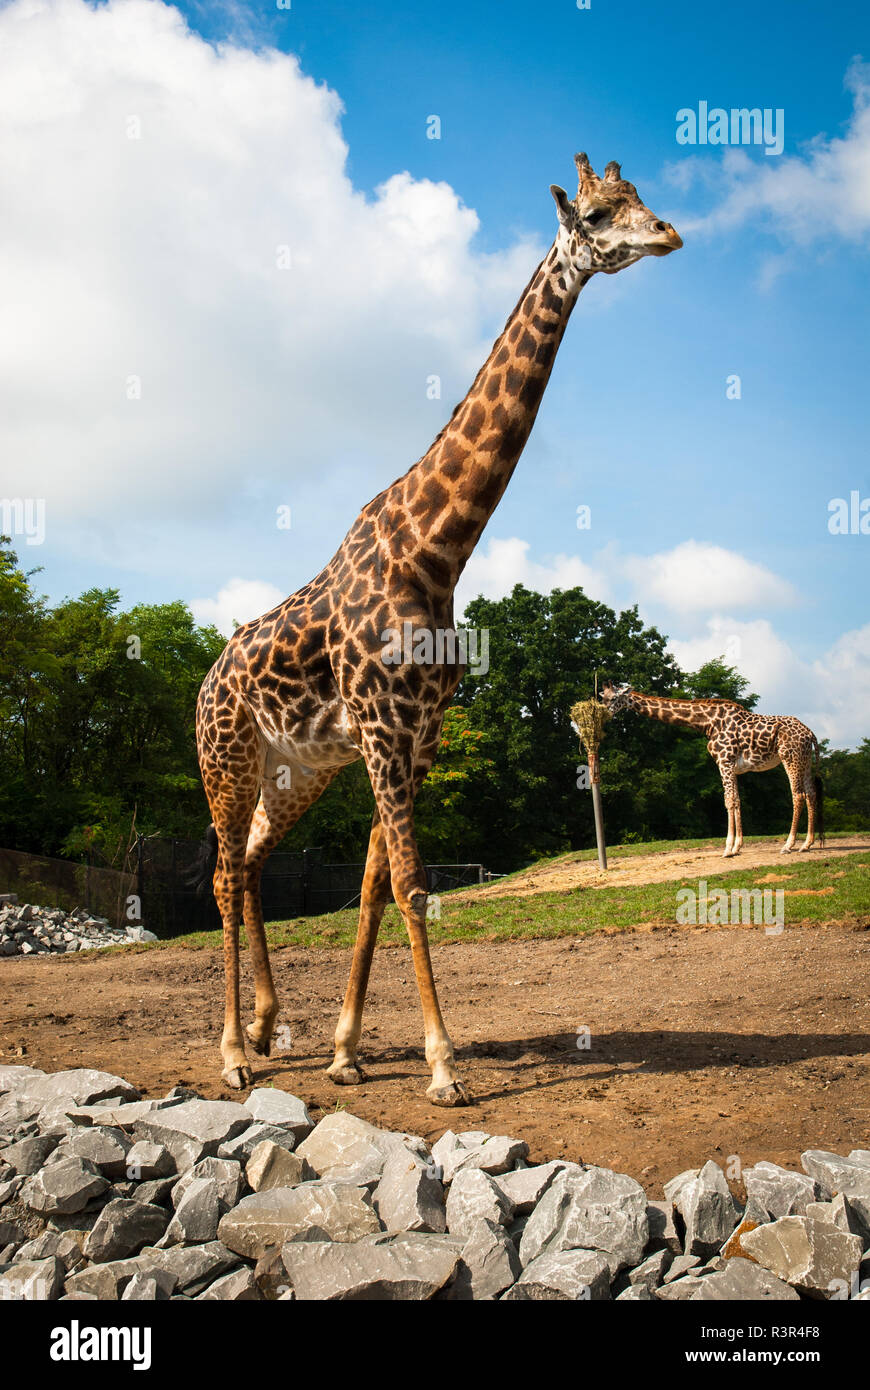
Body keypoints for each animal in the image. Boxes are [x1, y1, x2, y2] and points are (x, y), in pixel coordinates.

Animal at [198, 154, 683, 1106]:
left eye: (642, 197)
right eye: (599, 214)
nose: (669, 235)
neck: (438, 548)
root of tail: (202, 683)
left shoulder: (418, 733)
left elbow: (376, 886)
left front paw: (346, 1050)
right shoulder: (386, 727)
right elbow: (415, 885)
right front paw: (444, 1066)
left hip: (296, 769)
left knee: (253, 865)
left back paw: (270, 1028)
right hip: (226, 757)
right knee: (226, 871)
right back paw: (233, 1052)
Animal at [594, 683, 817, 856]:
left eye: (614, 698)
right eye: (602, 697)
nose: (599, 716)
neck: (707, 722)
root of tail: (810, 734)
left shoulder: (724, 762)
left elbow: (728, 801)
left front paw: (727, 849)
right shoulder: (732, 767)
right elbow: (737, 801)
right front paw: (737, 847)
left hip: (790, 758)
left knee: (798, 795)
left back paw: (788, 845)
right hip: (805, 762)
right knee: (811, 794)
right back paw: (807, 844)